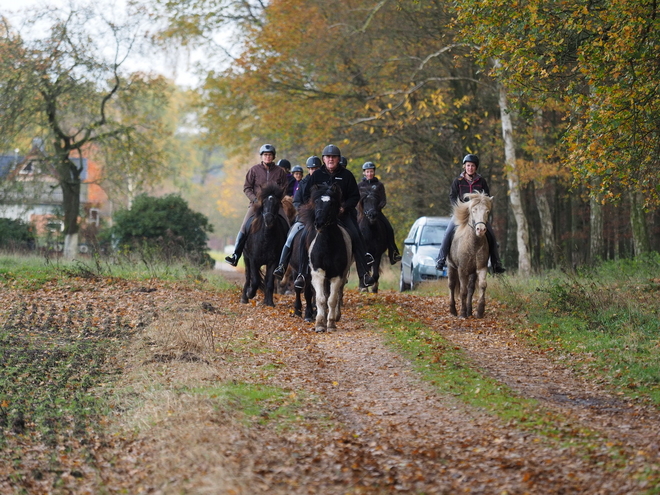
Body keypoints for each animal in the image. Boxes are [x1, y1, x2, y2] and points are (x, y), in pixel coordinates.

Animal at [298, 183, 350, 334]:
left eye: (332, 203)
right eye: (316, 201)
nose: (319, 223)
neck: (327, 244)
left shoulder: (337, 275)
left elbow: (332, 299)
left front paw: (331, 324)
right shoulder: (318, 273)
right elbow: (321, 299)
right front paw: (320, 324)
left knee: (338, 294)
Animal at [446, 192, 492, 320]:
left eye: (487, 211)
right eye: (473, 210)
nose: (481, 229)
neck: (473, 243)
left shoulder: (481, 267)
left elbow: (482, 285)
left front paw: (480, 312)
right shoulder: (462, 269)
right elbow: (463, 291)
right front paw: (462, 314)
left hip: (472, 272)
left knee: (471, 288)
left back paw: (469, 311)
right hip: (451, 267)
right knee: (451, 285)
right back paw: (453, 310)